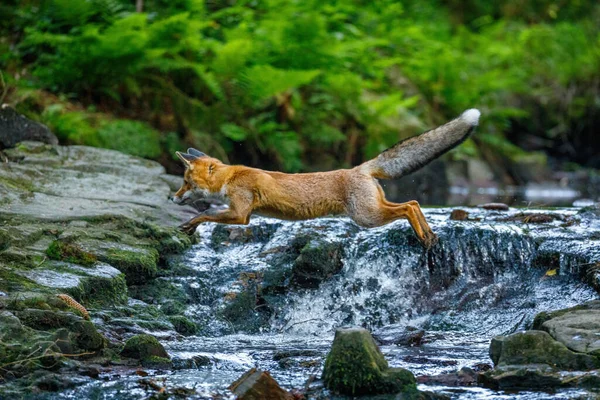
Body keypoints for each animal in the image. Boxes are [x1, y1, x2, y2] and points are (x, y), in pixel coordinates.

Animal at [171, 108, 480, 247]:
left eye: (185, 182)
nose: (172, 197)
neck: (231, 177)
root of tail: (360, 167)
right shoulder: (240, 214)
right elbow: (208, 214)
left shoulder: (241, 214)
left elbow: (206, 215)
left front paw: (189, 224)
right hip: (372, 210)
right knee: (414, 203)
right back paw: (428, 234)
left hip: (366, 216)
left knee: (408, 206)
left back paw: (423, 235)